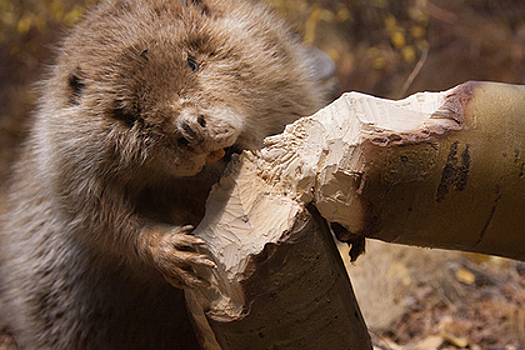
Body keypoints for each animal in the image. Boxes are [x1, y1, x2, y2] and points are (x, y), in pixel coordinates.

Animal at [0, 0, 330, 348]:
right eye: (127, 114)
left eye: (192, 62)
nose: (190, 129)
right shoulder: (65, 160)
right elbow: (97, 219)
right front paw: (177, 252)